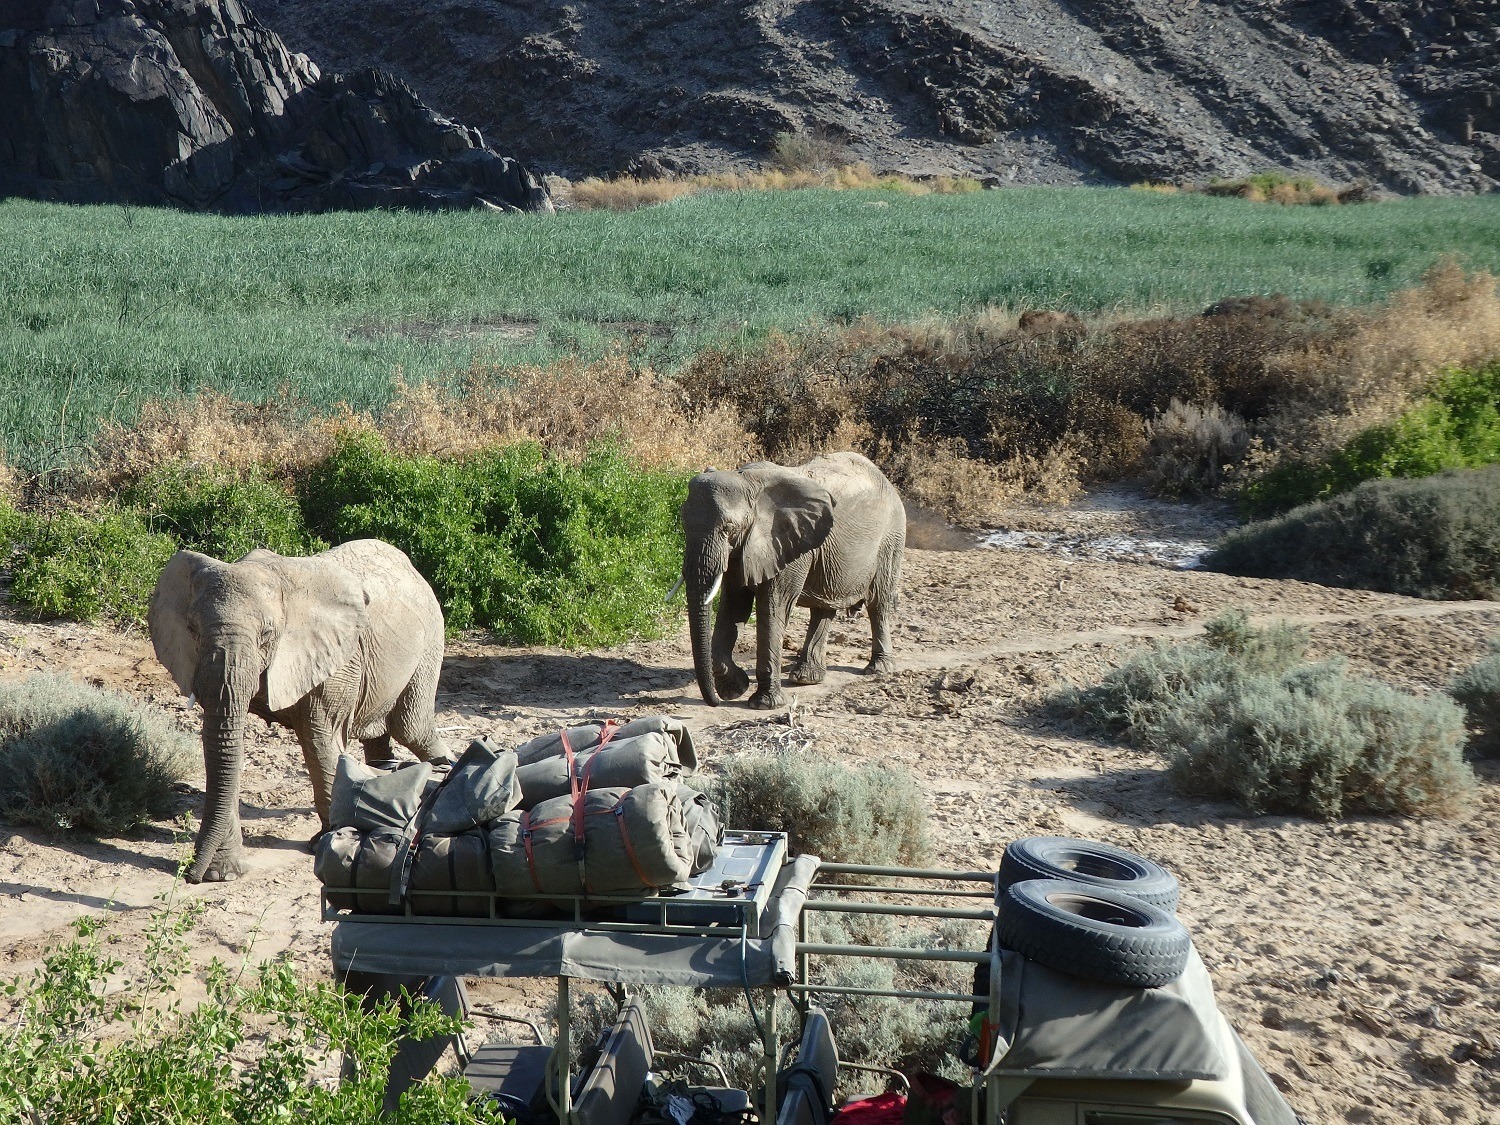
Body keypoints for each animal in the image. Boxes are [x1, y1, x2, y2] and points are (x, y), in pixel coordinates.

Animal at [148, 543, 447, 888]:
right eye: (192, 629)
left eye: (267, 634)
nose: (189, 876)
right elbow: (225, 746)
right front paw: (222, 874)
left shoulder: (336, 659)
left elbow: (320, 739)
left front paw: (328, 843)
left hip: (430, 637)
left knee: (412, 727)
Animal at [681, 453, 900, 708]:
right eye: (683, 523)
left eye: (728, 527)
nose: (714, 701)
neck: (747, 480)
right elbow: (734, 605)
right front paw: (735, 689)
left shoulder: (786, 543)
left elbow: (773, 607)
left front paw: (764, 704)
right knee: (823, 608)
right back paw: (806, 678)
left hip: (890, 540)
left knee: (878, 603)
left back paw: (878, 669)